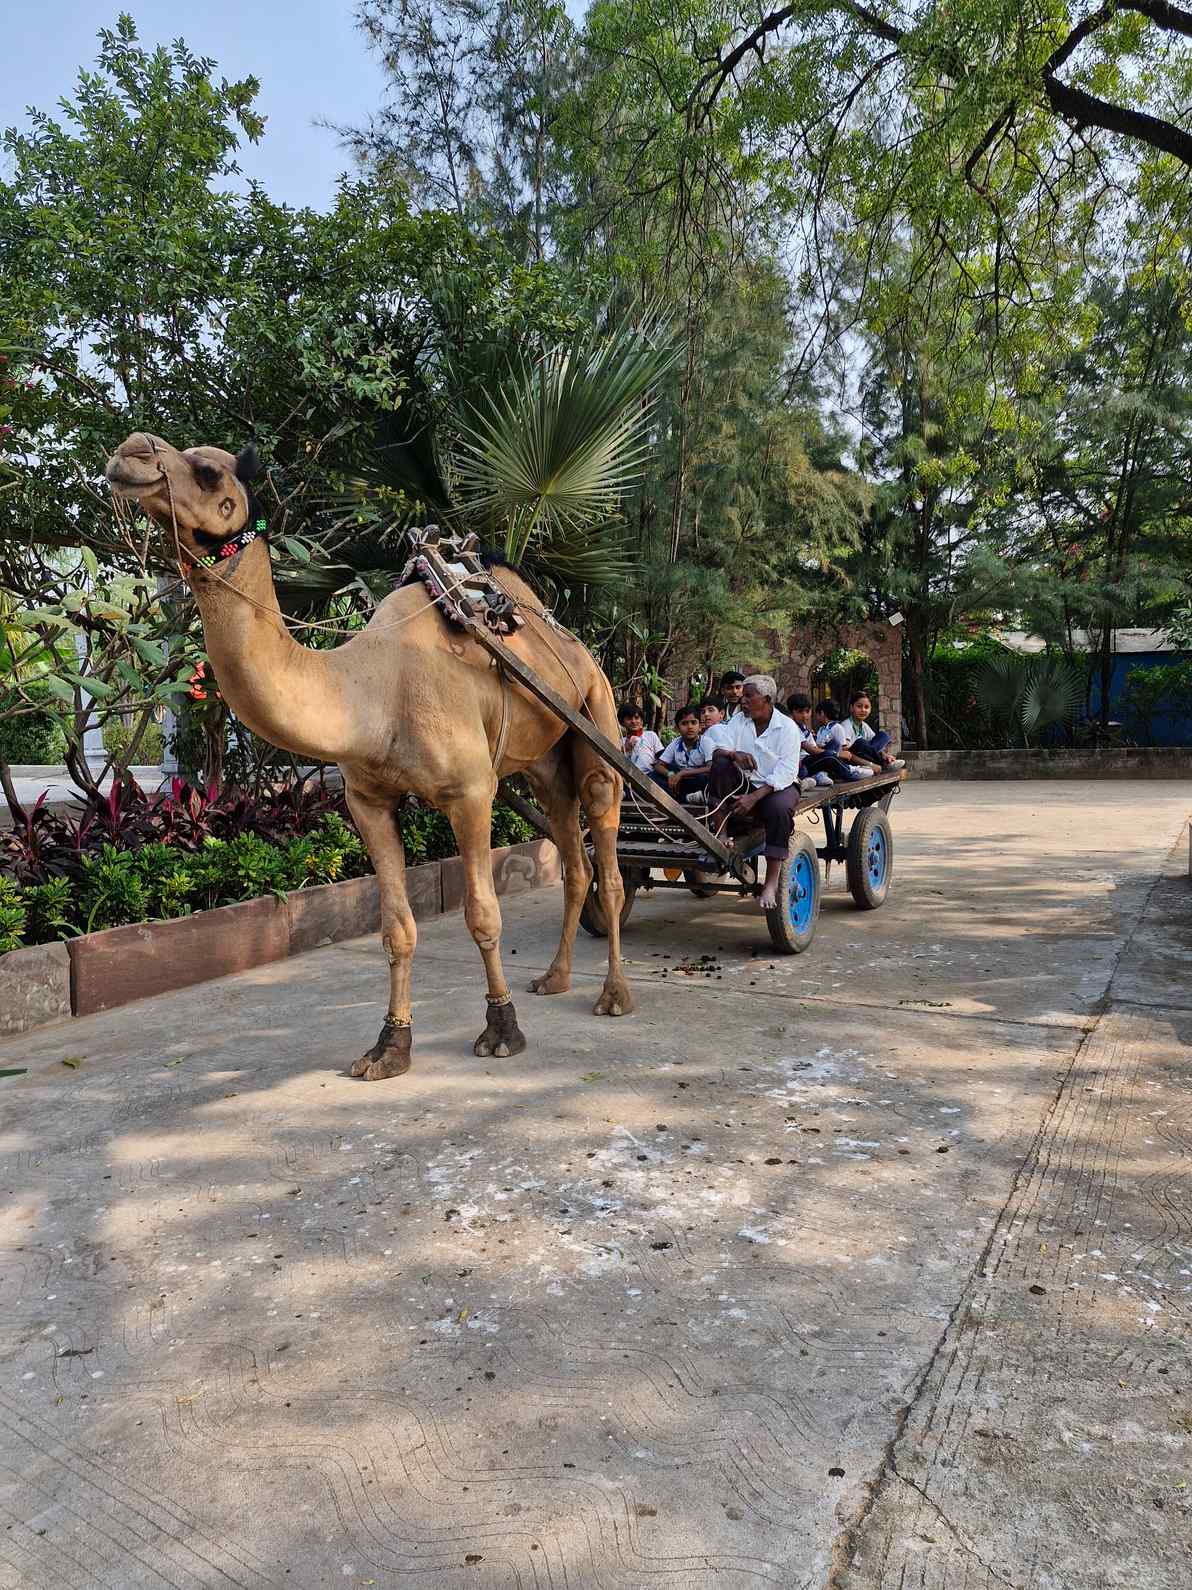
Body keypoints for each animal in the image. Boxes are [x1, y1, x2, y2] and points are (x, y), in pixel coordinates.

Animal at [104, 431, 634, 1079]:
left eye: (207, 470)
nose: (130, 453)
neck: (371, 690)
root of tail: (574, 645)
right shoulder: (368, 800)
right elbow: (396, 928)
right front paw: (389, 1046)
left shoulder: (470, 792)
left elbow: (482, 914)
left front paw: (502, 1028)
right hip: (543, 763)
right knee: (573, 857)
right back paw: (555, 978)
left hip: (597, 716)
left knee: (608, 857)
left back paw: (614, 995)